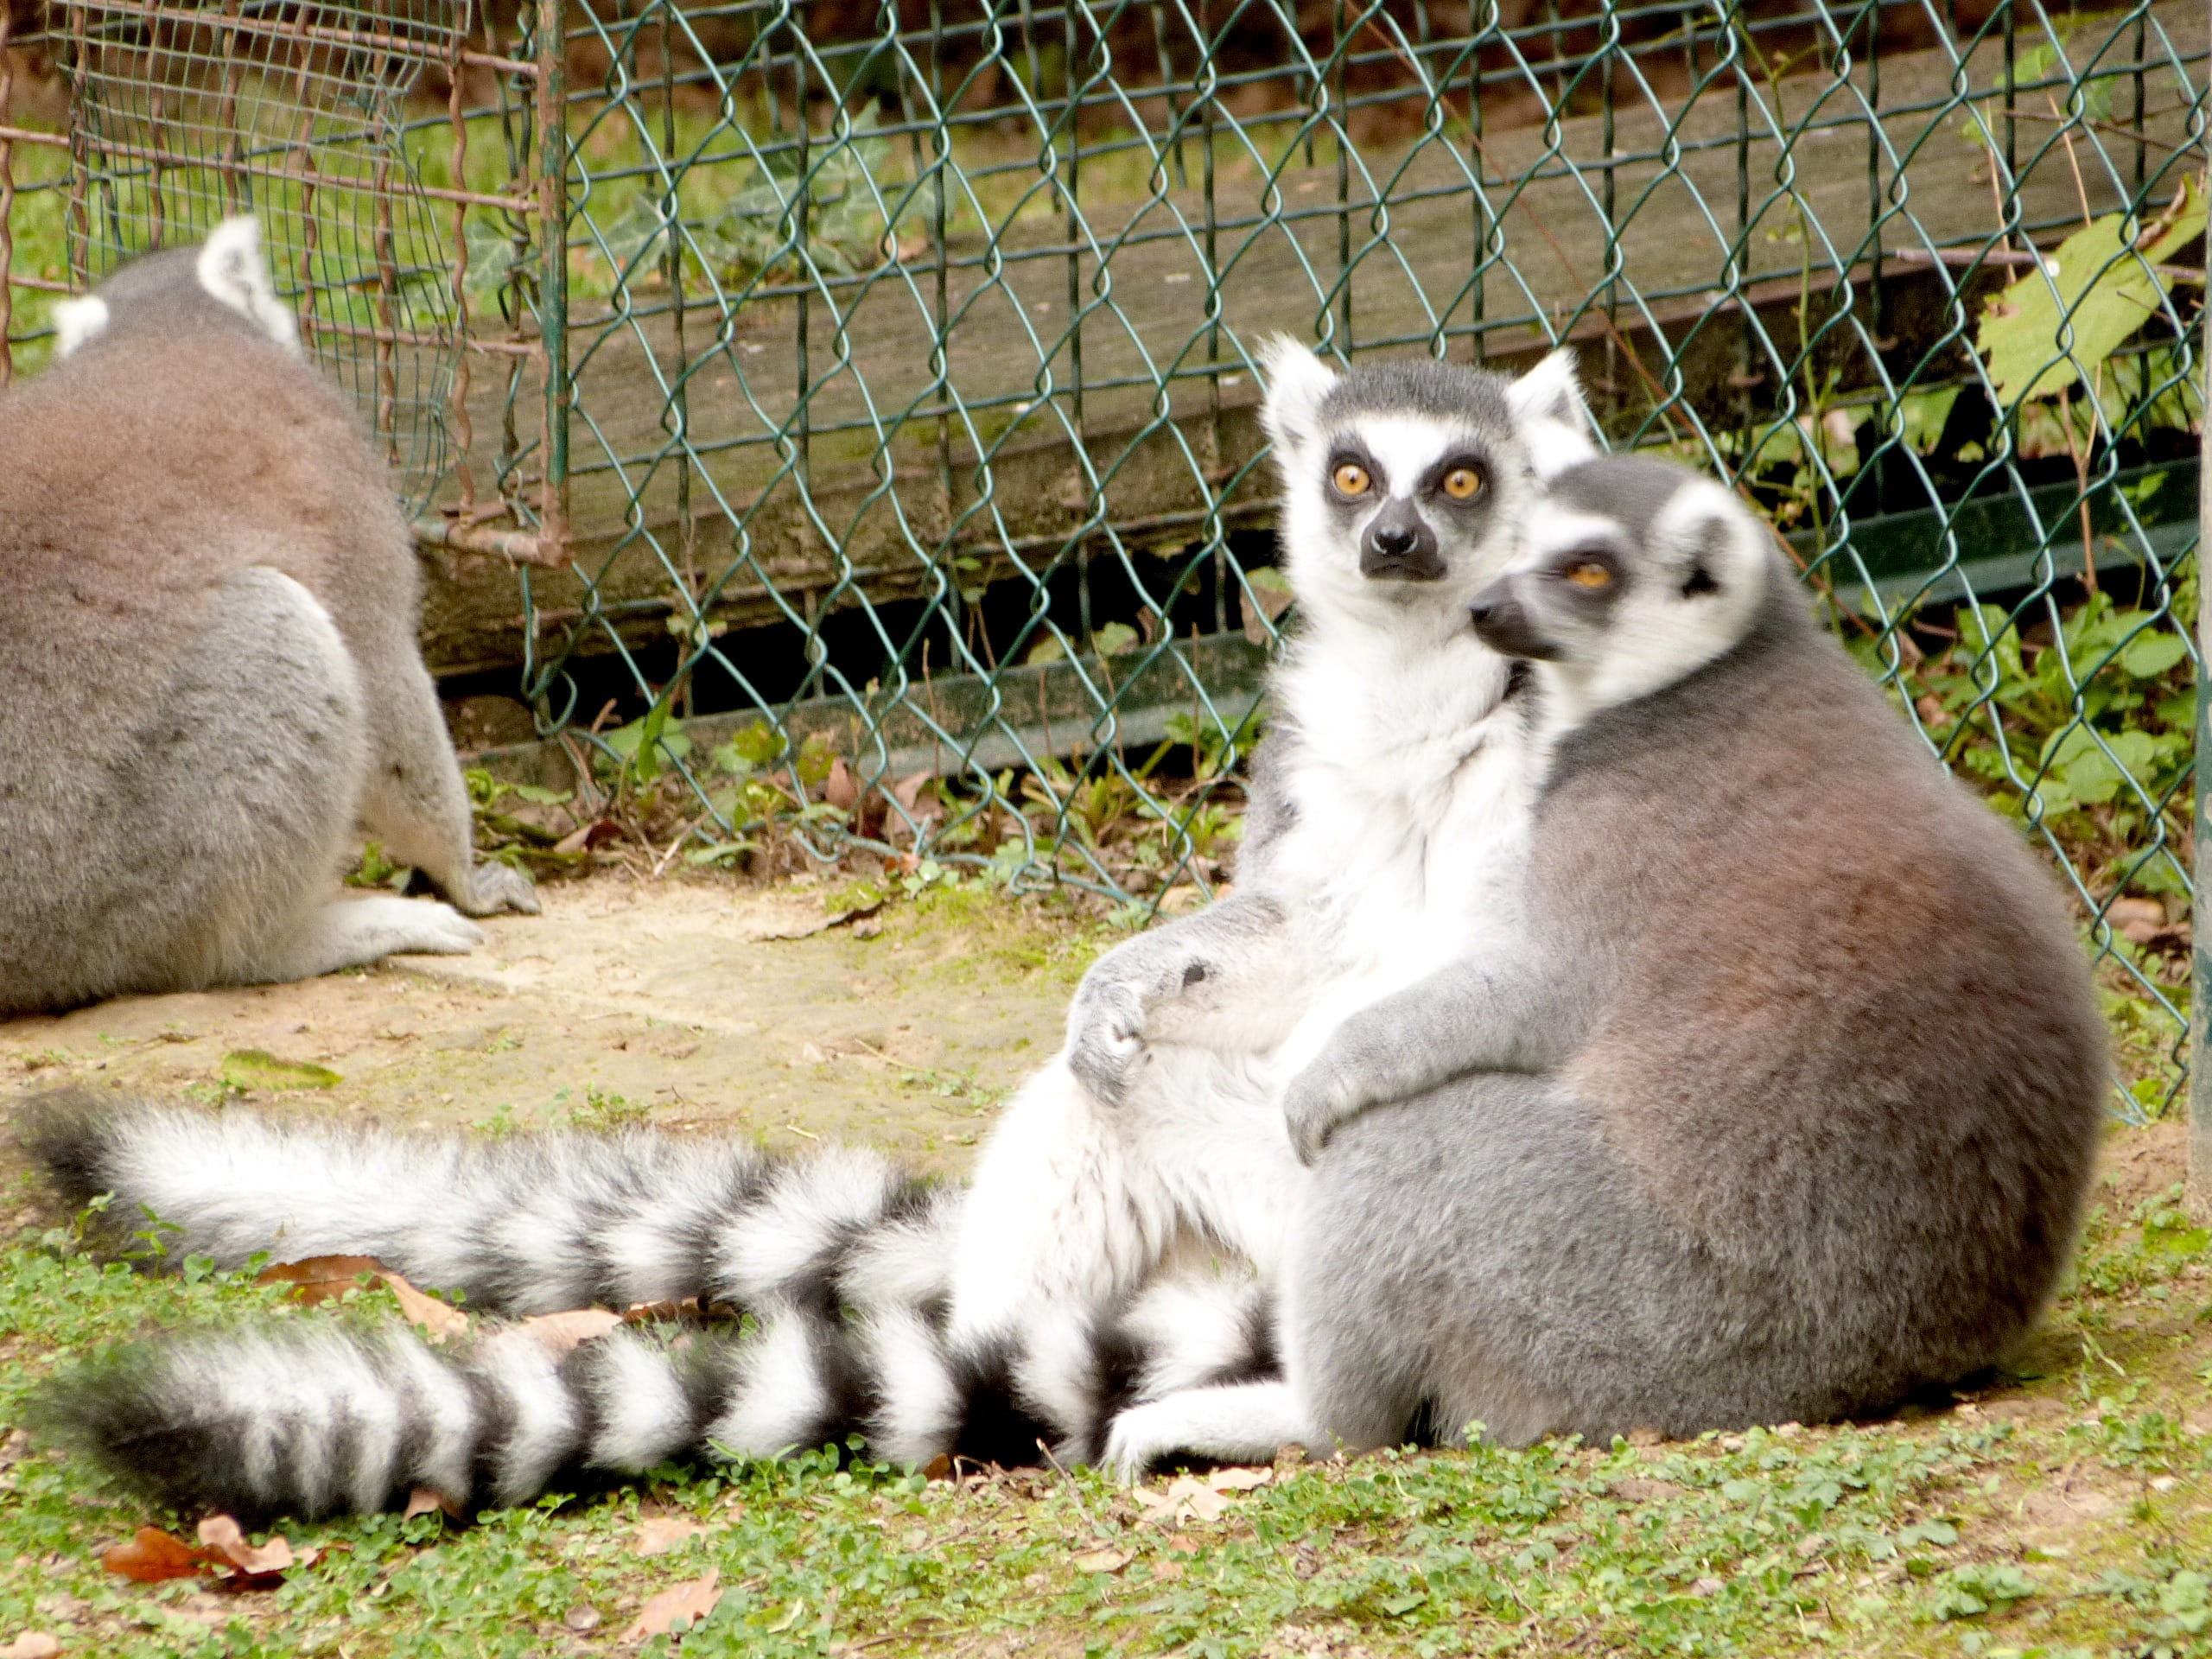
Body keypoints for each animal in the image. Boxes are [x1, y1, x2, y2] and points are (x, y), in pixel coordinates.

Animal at [0, 216, 536, 1017]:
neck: (167, 332)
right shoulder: (342, 494)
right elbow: (386, 686)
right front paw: (469, 879)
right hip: (95, 886)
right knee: (279, 628)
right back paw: (304, 937)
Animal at [1096, 453, 2108, 1474]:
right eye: (1513, 545)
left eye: (1587, 570)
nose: (1485, 611)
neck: (1706, 676)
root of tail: (1893, 1356)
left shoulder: (1614, 832)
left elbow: (1533, 996)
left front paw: (1327, 1071)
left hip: (1621, 1304)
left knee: (1407, 1151)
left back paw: (1304, 1419)